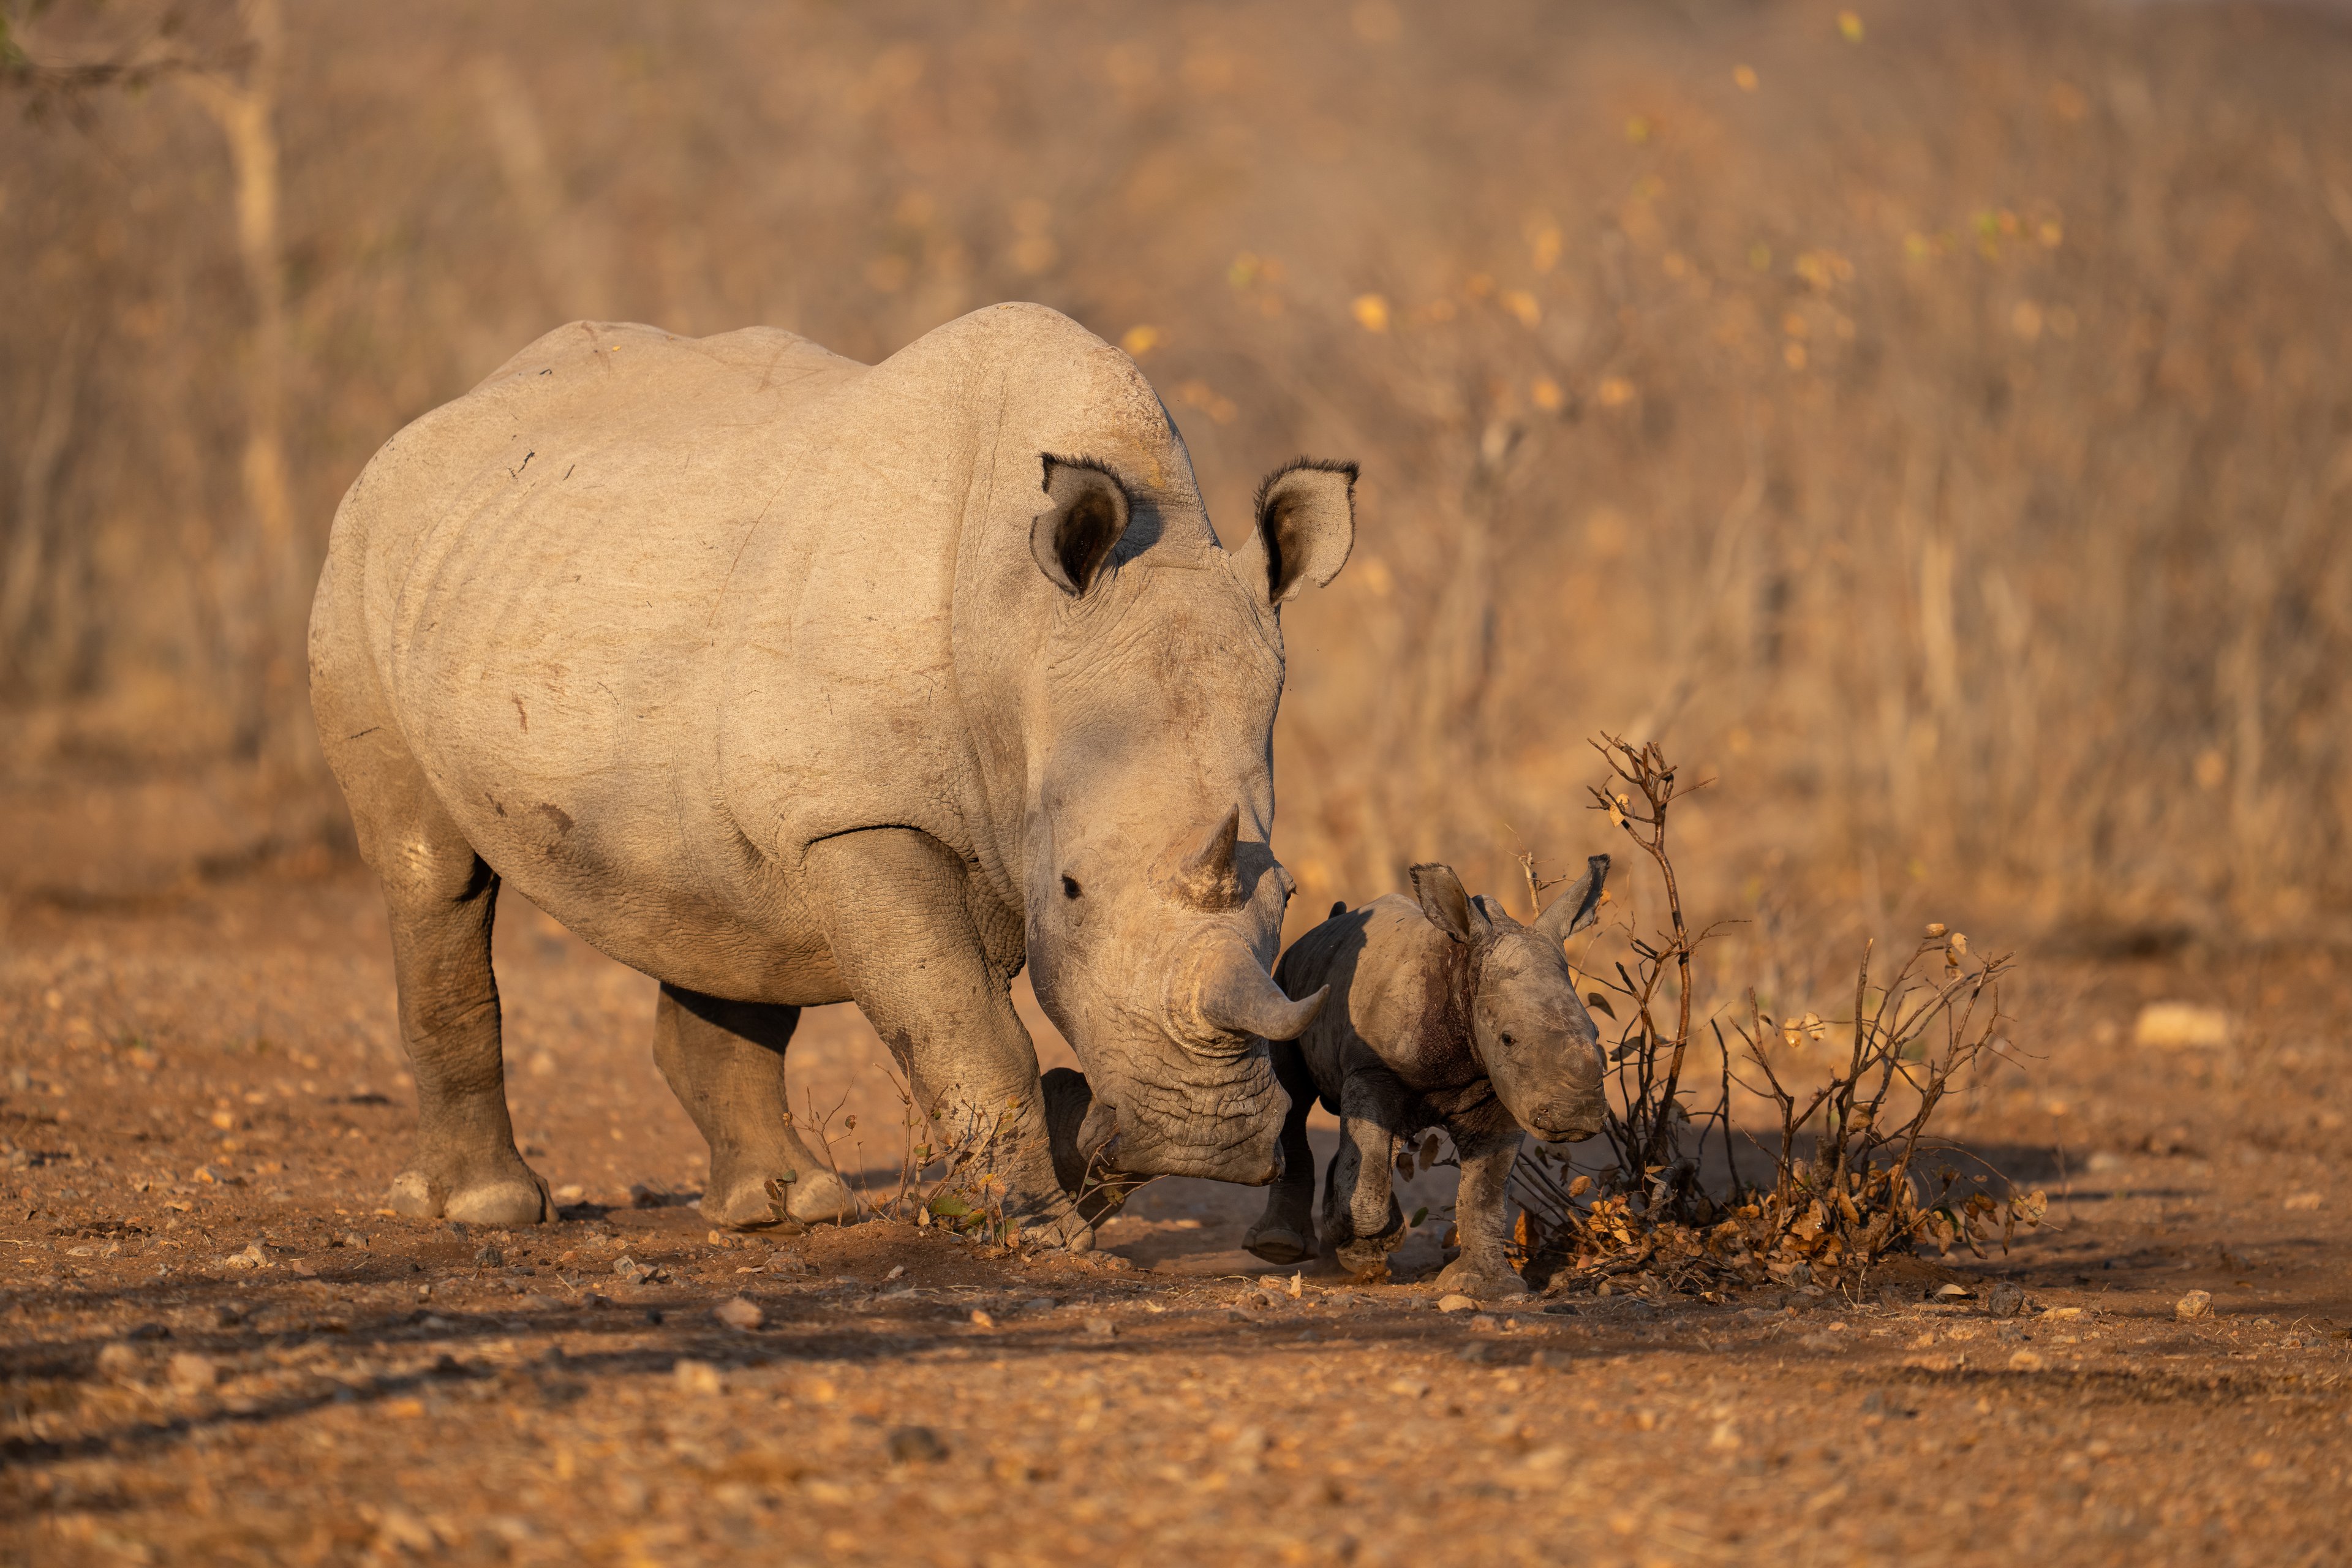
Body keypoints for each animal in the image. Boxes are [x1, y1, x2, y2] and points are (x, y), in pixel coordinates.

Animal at [1242, 860, 1608, 1297]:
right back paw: (1283, 1247)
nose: (1578, 1115)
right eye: (1508, 1038)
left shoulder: (1503, 1092)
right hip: (1285, 988)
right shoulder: (1374, 1070)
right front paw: (1366, 1251)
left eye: (1597, 1032)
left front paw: (1489, 1286)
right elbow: (1367, 1178)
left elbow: (1485, 1193)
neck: (1464, 974)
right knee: (1297, 1099)